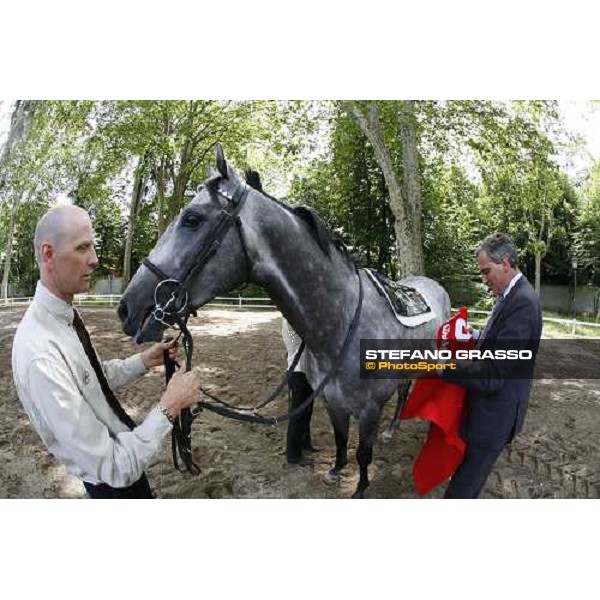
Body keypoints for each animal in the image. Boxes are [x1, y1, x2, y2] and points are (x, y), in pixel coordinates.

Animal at [118, 144, 450, 496]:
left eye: (192, 219)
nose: (127, 308)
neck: (342, 324)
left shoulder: (369, 409)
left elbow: (363, 452)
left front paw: (359, 488)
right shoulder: (333, 402)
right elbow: (341, 440)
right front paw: (336, 471)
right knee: (404, 389)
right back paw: (393, 428)